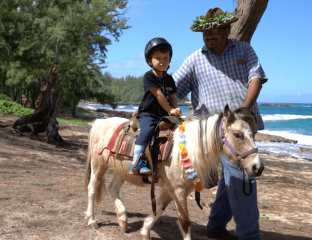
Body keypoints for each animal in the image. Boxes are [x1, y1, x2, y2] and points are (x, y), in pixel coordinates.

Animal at [83, 107, 264, 240]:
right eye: (237, 134)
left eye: (253, 135)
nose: (257, 167)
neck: (186, 149)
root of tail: (100, 122)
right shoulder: (178, 190)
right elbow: (184, 221)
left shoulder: (171, 189)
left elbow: (159, 209)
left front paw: (145, 231)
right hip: (98, 165)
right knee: (92, 188)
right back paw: (92, 220)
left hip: (121, 170)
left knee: (113, 188)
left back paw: (123, 220)